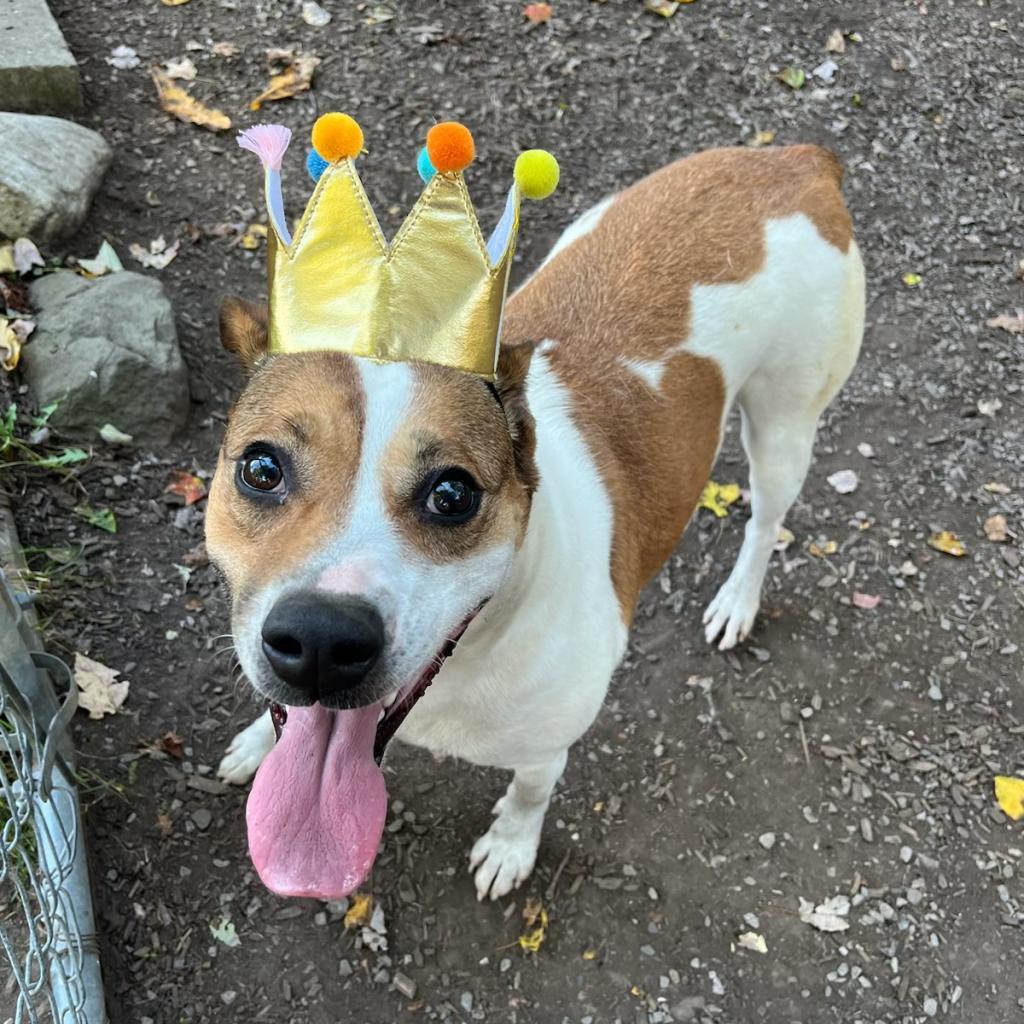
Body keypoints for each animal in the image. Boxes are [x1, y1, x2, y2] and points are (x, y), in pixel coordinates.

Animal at [207, 146, 864, 905]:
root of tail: (795, 160)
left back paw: (737, 601)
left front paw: (510, 846)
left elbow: (530, 792)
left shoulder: (550, 743)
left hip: (787, 423)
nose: (319, 640)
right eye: (261, 468)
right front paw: (259, 741)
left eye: (452, 494)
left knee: (765, 519)